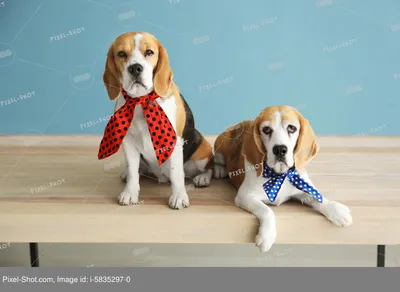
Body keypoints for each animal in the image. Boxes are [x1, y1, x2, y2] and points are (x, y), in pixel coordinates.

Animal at [100, 32, 212, 209]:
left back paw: (203, 178)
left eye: (149, 52)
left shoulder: (173, 142)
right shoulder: (129, 142)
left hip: (203, 150)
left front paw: (179, 196)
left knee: (208, 168)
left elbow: (176, 173)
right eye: (121, 54)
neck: (141, 100)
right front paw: (130, 193)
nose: (135, 68)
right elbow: (132, 172)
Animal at [214, 106, 352, 252]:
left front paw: (335, 210)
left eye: (291, 128)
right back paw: (219, 170)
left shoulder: (302, 187)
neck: (280, 175)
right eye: (266, 129)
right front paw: (267, 236)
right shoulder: (244, 196)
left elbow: (316, 196)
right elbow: (267, 211)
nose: (280, 149)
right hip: (221, 144)